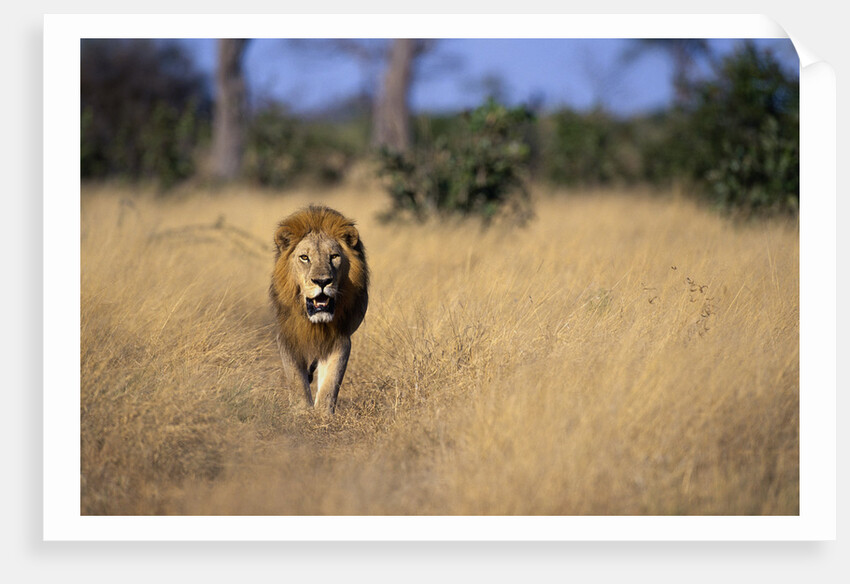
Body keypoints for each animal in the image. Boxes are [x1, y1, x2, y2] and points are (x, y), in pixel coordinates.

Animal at [269, 205, 369, 415]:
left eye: (334, 256)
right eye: (304, 257)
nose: (322, 281)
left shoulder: (340, 338)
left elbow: (331, 381)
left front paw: (323, 414)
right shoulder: (288, 335)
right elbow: (296, 379)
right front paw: (301, 411)